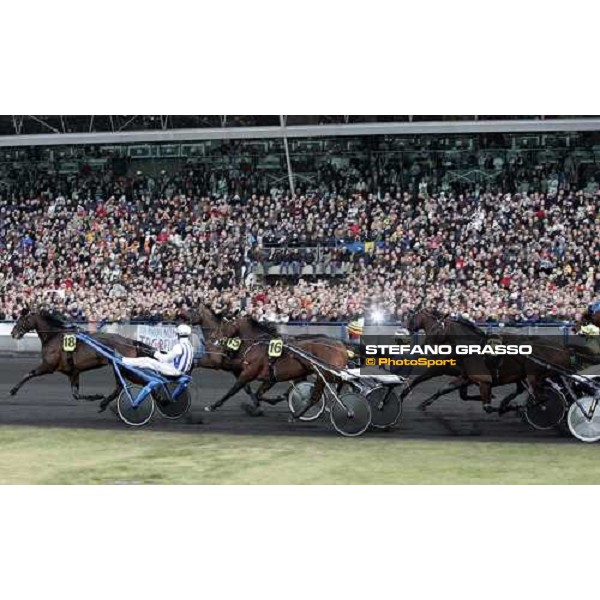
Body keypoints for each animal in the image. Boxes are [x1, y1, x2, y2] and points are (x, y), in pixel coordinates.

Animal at [9, 308, 155, 410]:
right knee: (124, 386)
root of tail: (129, 341)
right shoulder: (73, 372)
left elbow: (29, 374)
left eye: (21, 320)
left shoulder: (48, 366)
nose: (13, 333)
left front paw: (13, 390)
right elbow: (76, 394)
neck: (54, 336)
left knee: (128, 385)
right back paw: (105, 403)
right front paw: (95, 396)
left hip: (122, 368)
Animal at [203, 316, 350, 414]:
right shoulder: (270, 378)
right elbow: (258, 394)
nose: (213, 337)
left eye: (224, 326)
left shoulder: (249, 372)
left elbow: (233, 390)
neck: (258, 345)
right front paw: (267, 403)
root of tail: (340, 345)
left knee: (331, 386)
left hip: (325, 373)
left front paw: (213, 406)